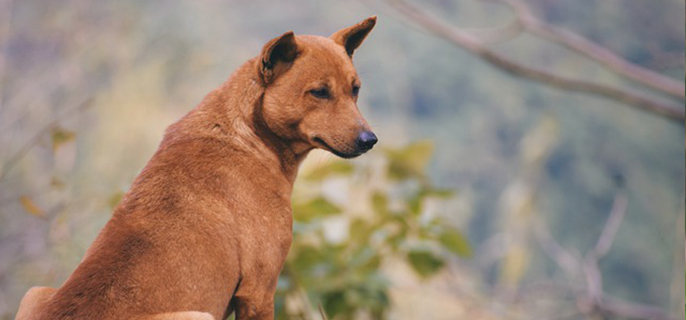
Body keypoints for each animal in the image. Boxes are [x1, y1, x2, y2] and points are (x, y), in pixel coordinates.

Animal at [16, 16, 378, 320]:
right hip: (196, 314)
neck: (247, 135)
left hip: (35, 292)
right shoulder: (258, 290)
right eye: (319, 92)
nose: (370, 140)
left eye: (355, 89)